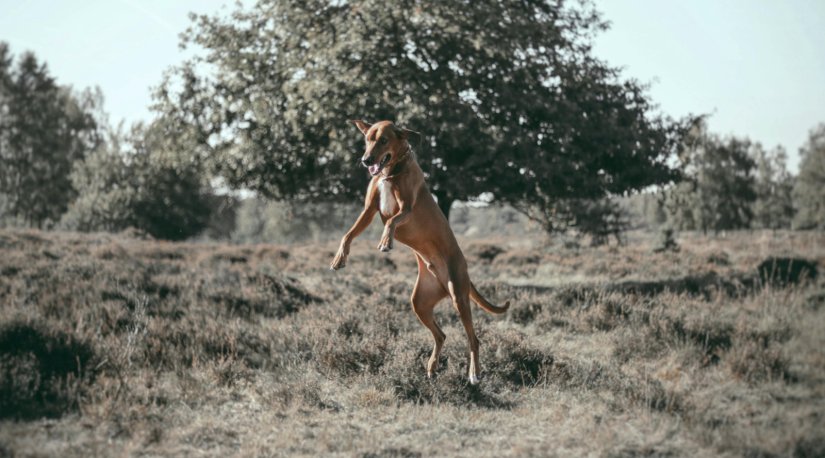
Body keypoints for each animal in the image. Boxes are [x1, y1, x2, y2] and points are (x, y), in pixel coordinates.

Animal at [328, 118, 508, 382]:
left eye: (383, 140)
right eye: (367, 139)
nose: (366, 160)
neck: (389, 173)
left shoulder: (407, 208)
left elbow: (392, 222)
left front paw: (386, 241)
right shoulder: (369, 210)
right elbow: (347, 234)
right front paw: (339, 258)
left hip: (458, 295)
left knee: (473, 339)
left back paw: (474, 374)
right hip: (420, 302)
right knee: (441, 334)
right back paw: (432, 366)